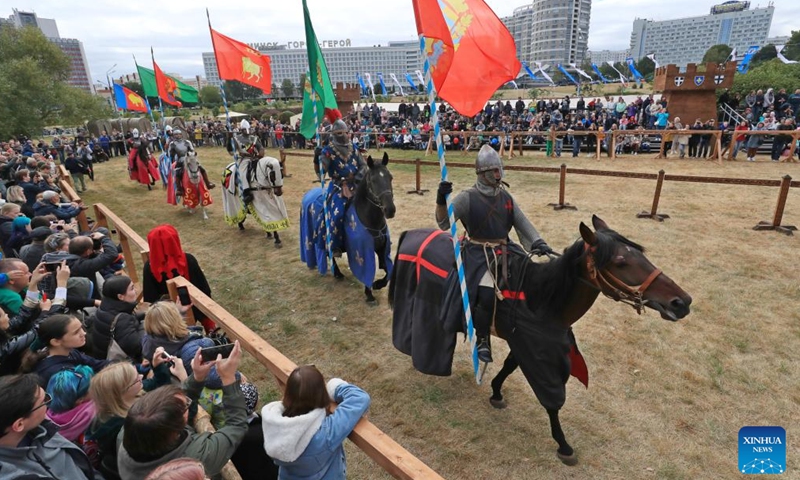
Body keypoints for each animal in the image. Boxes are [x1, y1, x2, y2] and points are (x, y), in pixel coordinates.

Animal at [300, 153, 396, 304]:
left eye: (390, 177)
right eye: (373, 180)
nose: (390, 210)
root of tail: (307, 195)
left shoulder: (382, 249)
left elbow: (388, 272)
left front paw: (377, 284)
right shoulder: (362, 252)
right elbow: (367, 271)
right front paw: (369, 294)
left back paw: (337, 273)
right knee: (328, 252)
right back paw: (337, 273)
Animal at [388, 217, 688, 464]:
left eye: (640, 255)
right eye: (620, 262)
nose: (682, 302)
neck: (540, 299)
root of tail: (412, 233)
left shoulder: (523, 342)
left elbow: (509, 367)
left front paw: (496, 393)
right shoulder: (538, 356)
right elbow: (552, 401)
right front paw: (564, 445)